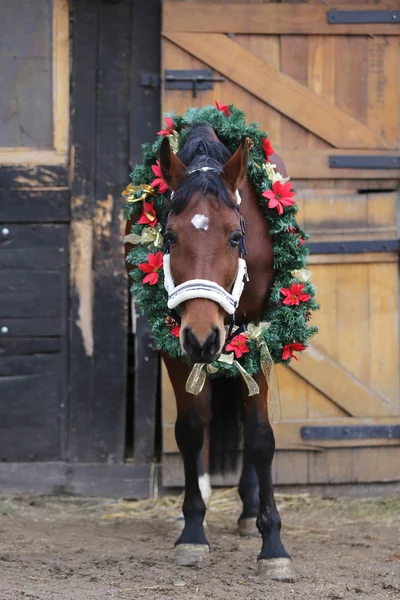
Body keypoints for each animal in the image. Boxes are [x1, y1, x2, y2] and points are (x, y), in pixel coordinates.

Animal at [125, 123, 294, 580]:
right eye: (169, 236)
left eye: (235, 237)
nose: (203, 337)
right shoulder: (173, 342)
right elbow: (189, 430)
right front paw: (192, 532)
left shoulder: (261, 332)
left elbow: (260, 436)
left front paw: (273, 545)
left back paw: (249, 512)